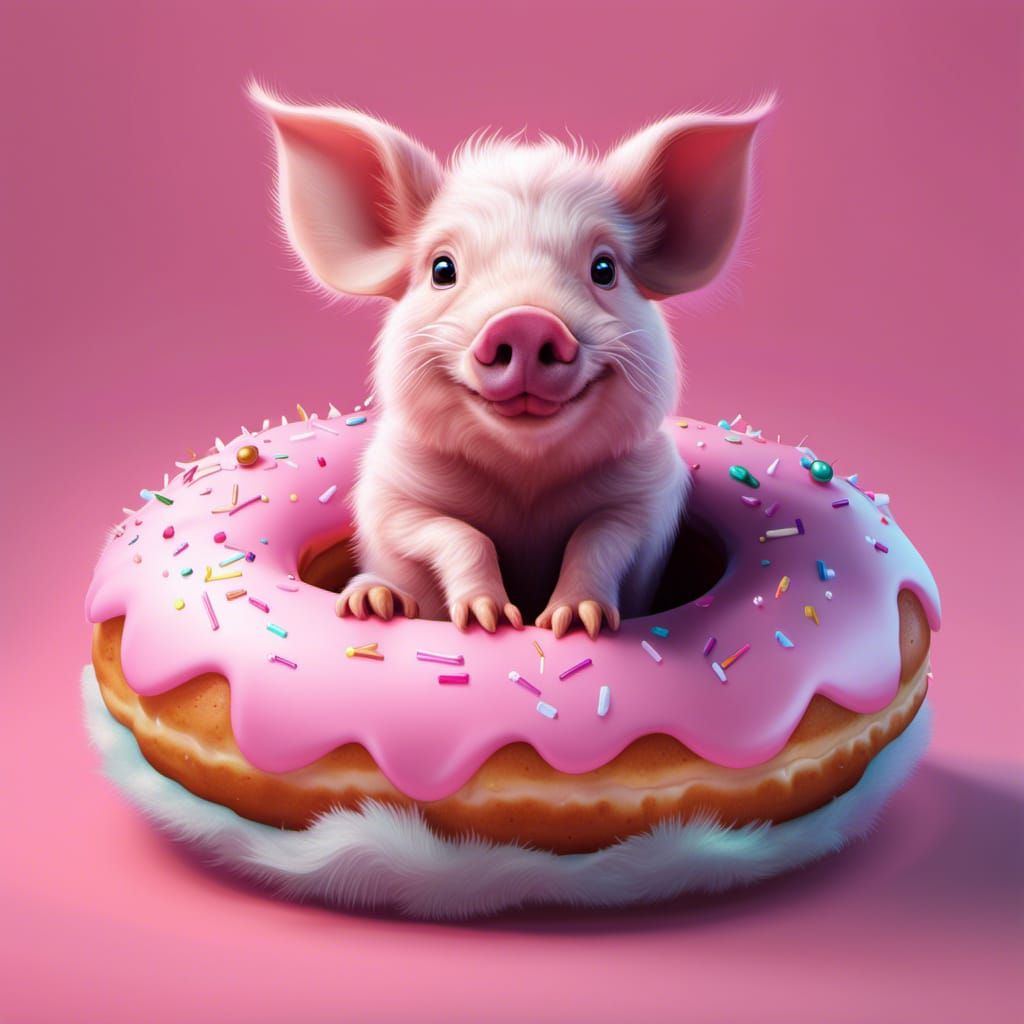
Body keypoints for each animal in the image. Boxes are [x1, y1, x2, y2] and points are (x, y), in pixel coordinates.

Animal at [251, 85, 773, 638]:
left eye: (604, 268)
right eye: (442, 269)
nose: (525, 321)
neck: (525, 486)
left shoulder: (649, 497)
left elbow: (598, 538)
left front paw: (573, 622)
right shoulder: (390, 492)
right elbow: (453, 531)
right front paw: (490, 621)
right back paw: (372, 601)